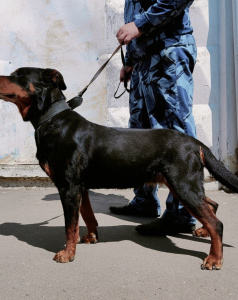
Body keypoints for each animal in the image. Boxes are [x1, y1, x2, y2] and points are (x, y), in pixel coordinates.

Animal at [0, 68, 238, 270]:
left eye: (19, 75)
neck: (52, 121)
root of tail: (195, 142)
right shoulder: (80, 187)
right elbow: (87, 215)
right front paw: (91, 237)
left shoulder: (69, 187)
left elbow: (70, 225)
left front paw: (67, 253)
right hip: (184, 184)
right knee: (211, 205)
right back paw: (203, 231)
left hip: (183, 184)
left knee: (216, 222)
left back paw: (214, 258)